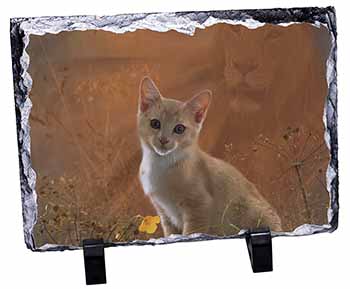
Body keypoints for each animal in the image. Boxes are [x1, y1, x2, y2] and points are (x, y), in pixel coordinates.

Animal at [137, 77, 282, 236]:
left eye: (179, 128)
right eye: (155, 123)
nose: (164, 140)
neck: (160, 166)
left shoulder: (199, 206)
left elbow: (191, 232)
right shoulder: (163, 212)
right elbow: (170, 234)